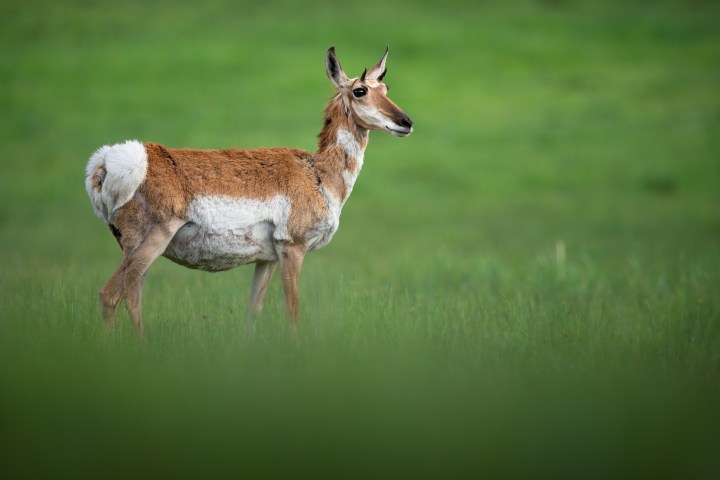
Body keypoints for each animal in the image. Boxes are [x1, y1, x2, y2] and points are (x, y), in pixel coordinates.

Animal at [85, 47, 413, 337]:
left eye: (385, 87)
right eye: (360, 90)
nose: (406, 122)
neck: (317, 172)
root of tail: (109, 161)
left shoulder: (267, 259)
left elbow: (253, 311)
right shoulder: (292, 249)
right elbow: (292, 311)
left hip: (139, 250)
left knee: (132, 298)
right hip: (150, 241)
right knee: (110, 295)